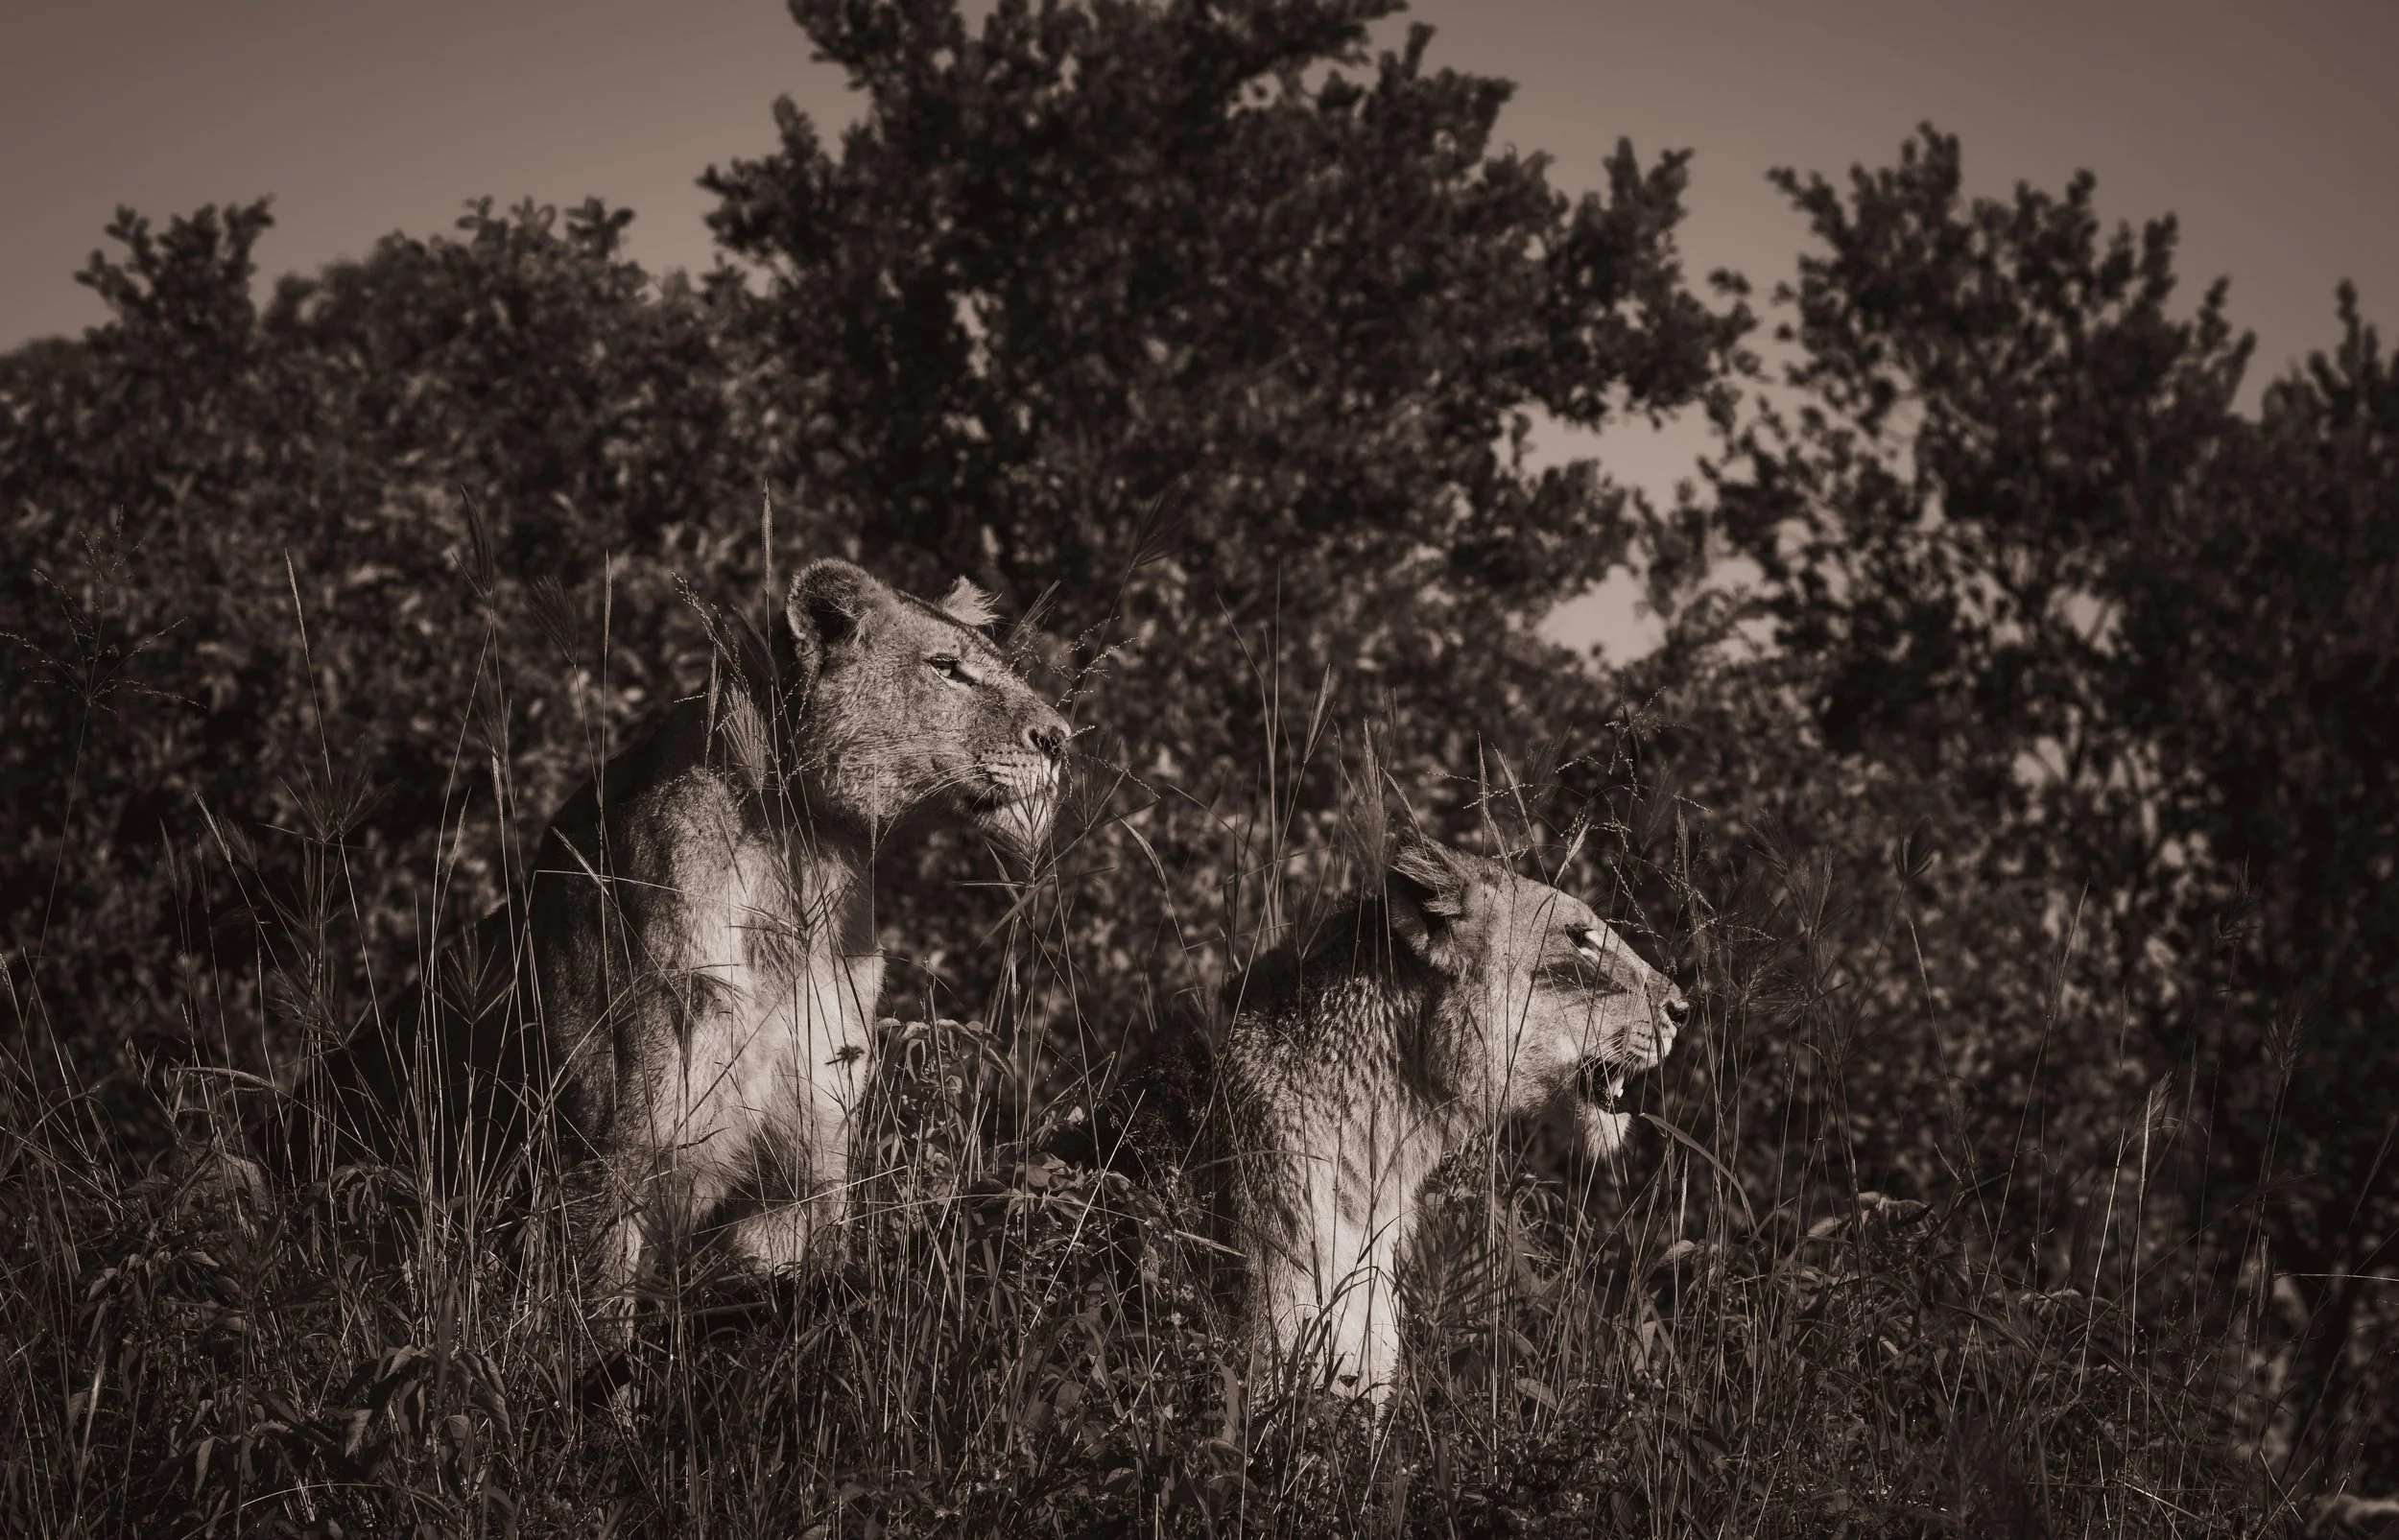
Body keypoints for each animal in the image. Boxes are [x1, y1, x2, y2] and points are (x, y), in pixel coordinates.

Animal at [323, 558, 1069, 1307]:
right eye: (946, 668)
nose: (1062, 739)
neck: (803, 866)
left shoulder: (801, 1169)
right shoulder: (604, 1157)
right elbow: (599, 1313)